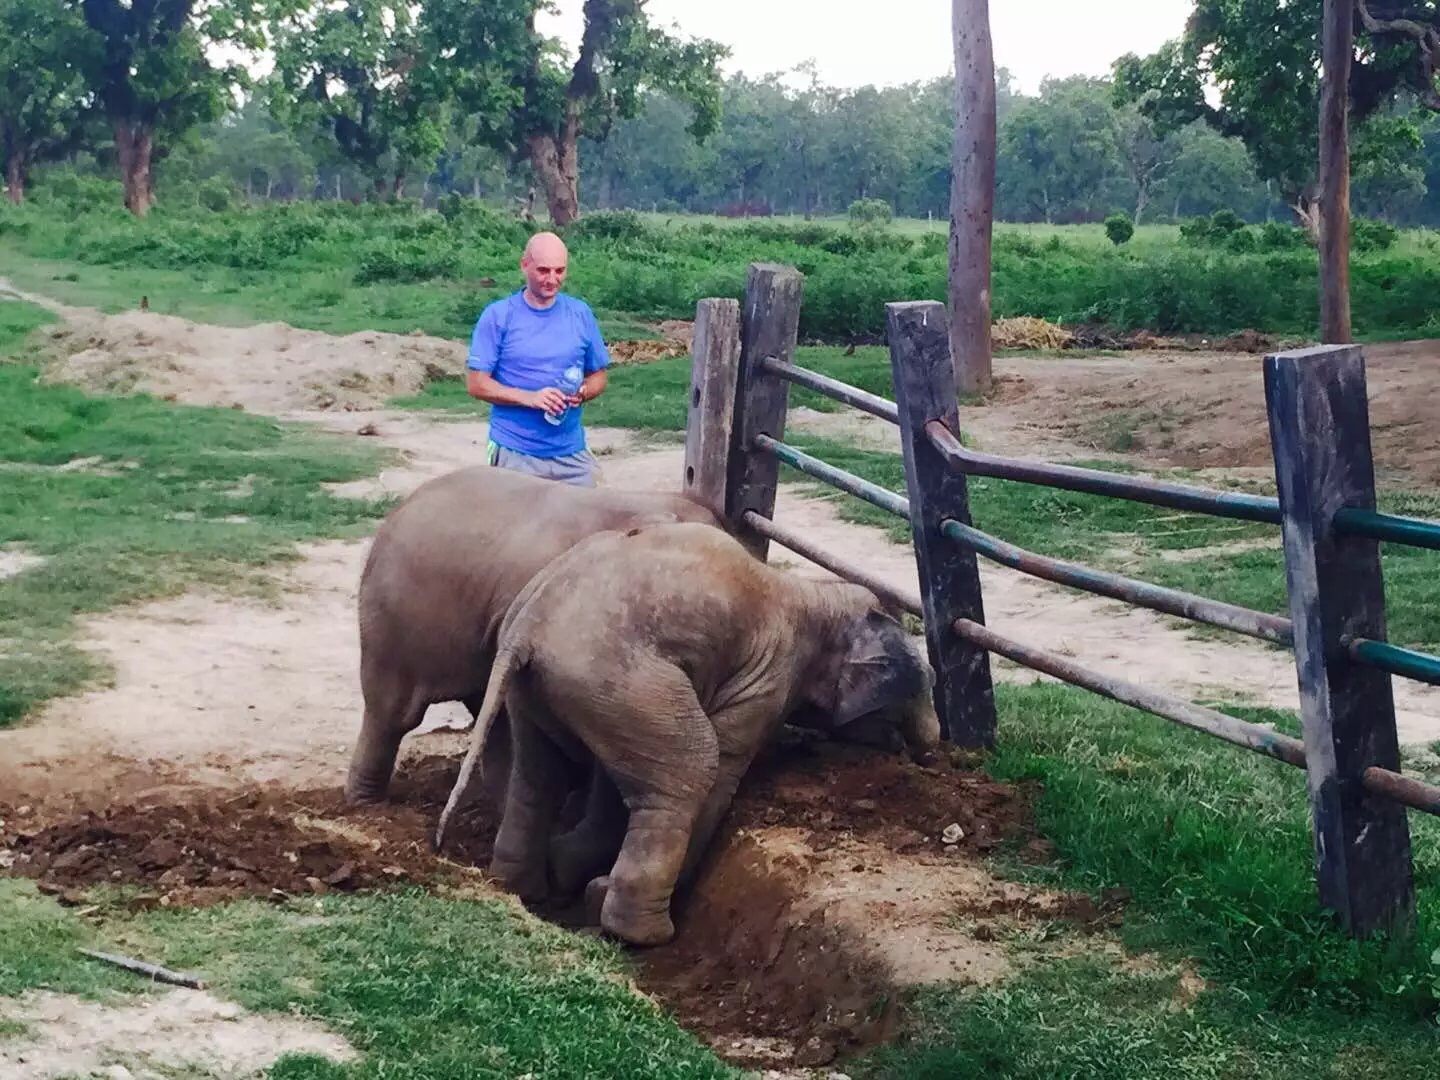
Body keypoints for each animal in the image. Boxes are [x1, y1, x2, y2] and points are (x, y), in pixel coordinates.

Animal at [432, 521, 938, 944]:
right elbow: (721, 772)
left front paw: (571, 872)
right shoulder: (765, 681)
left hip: (554, 690)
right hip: (621, 679)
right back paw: (642, 934)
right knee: (691, 767)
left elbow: (608, 783)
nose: (928, 756)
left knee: (539, 773)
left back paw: (520, 888)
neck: (817, 595)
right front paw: (591, 890)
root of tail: (527, 625)